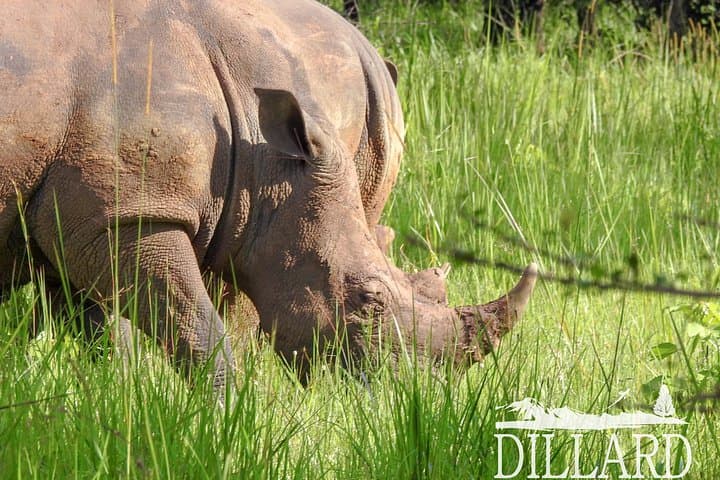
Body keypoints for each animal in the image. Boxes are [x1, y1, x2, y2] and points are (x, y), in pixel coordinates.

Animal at [0, 0, 537, 398]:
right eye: (367, 299)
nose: (411, 394)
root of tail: (367, 56)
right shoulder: (125, 216)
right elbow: (195, 327)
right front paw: (222, 419)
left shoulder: (98, 215)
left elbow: (103, 331)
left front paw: (115, 400)